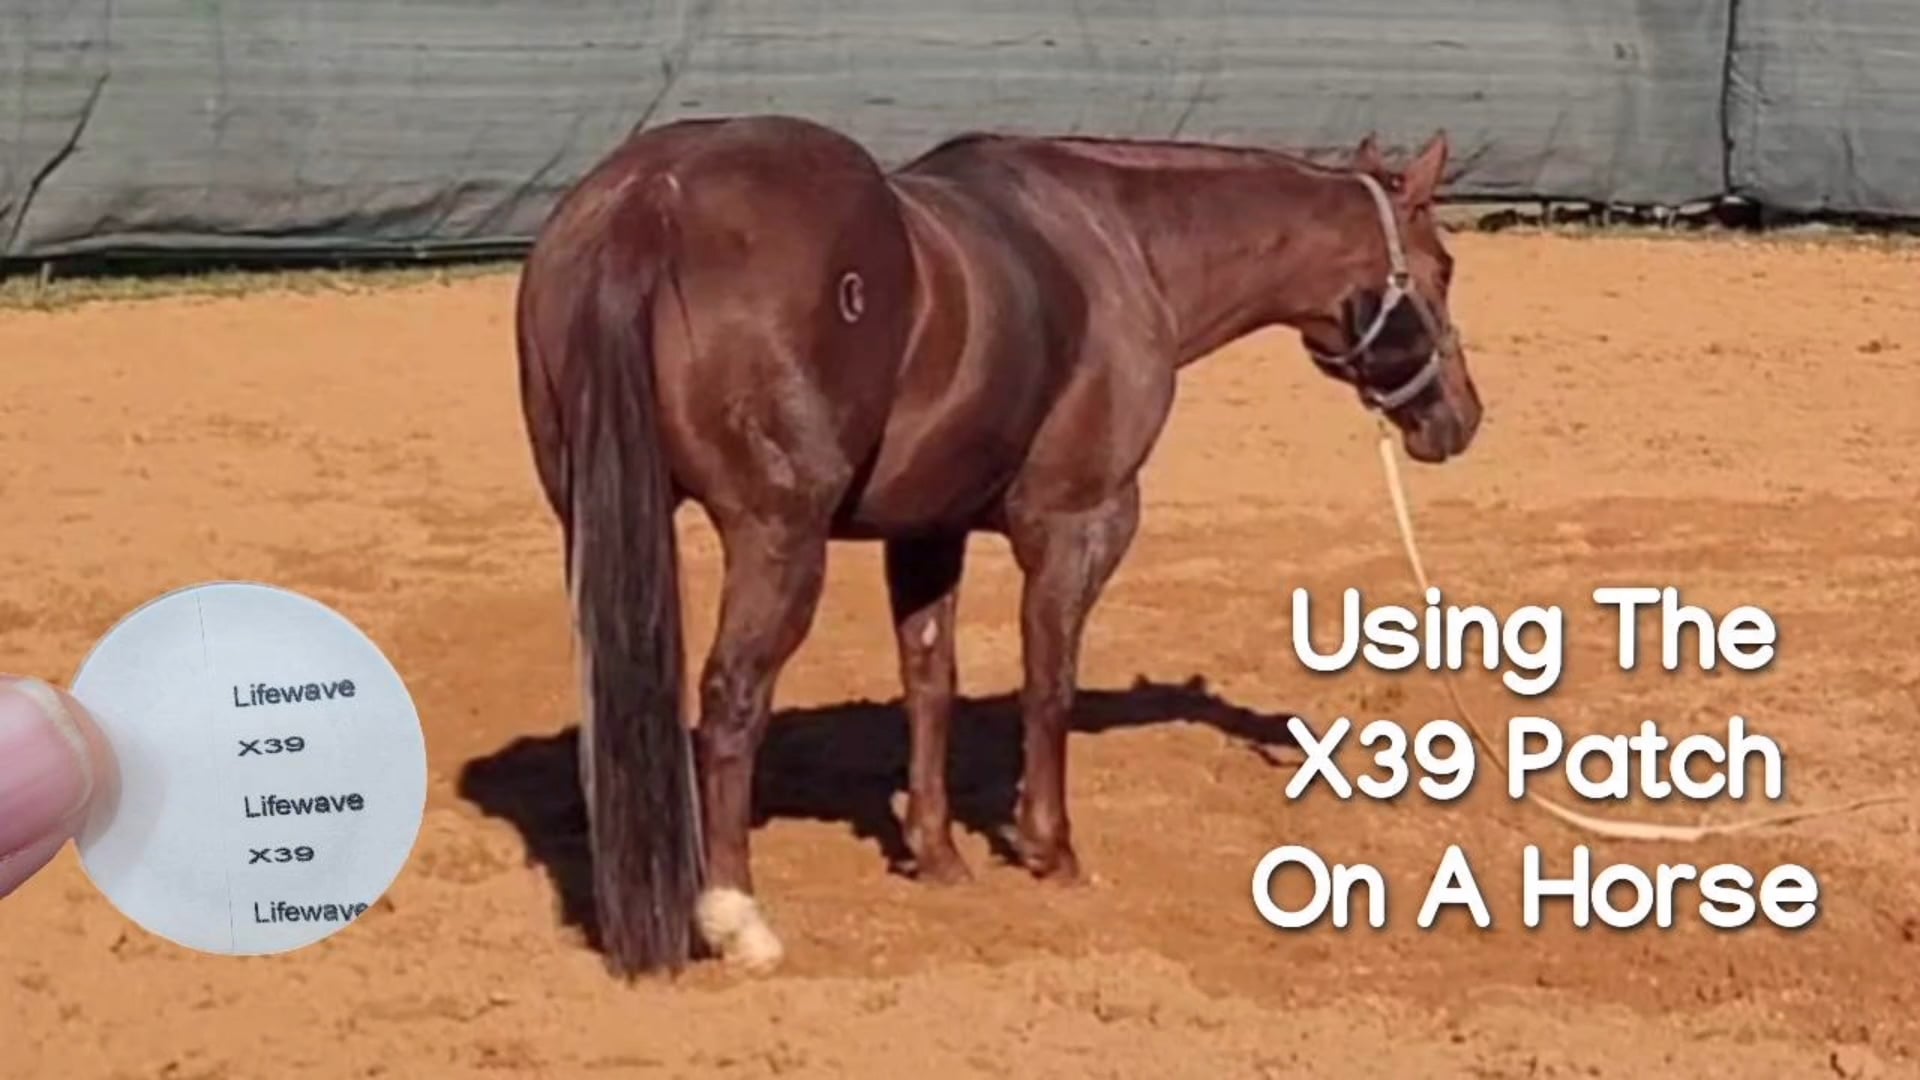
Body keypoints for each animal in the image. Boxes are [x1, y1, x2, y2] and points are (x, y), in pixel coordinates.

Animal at [514, 113, 1483, 978]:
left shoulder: (925, 532)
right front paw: (1051, 850)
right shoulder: (1079, 523)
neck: (1124, 244)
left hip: (593, 521)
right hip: (777, 538)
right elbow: (1047, 683)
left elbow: (931, 682)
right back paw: (737, 920)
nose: (1461, 419)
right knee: (731, 703)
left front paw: (937, 854)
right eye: (1442, 267)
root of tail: (653, 199)